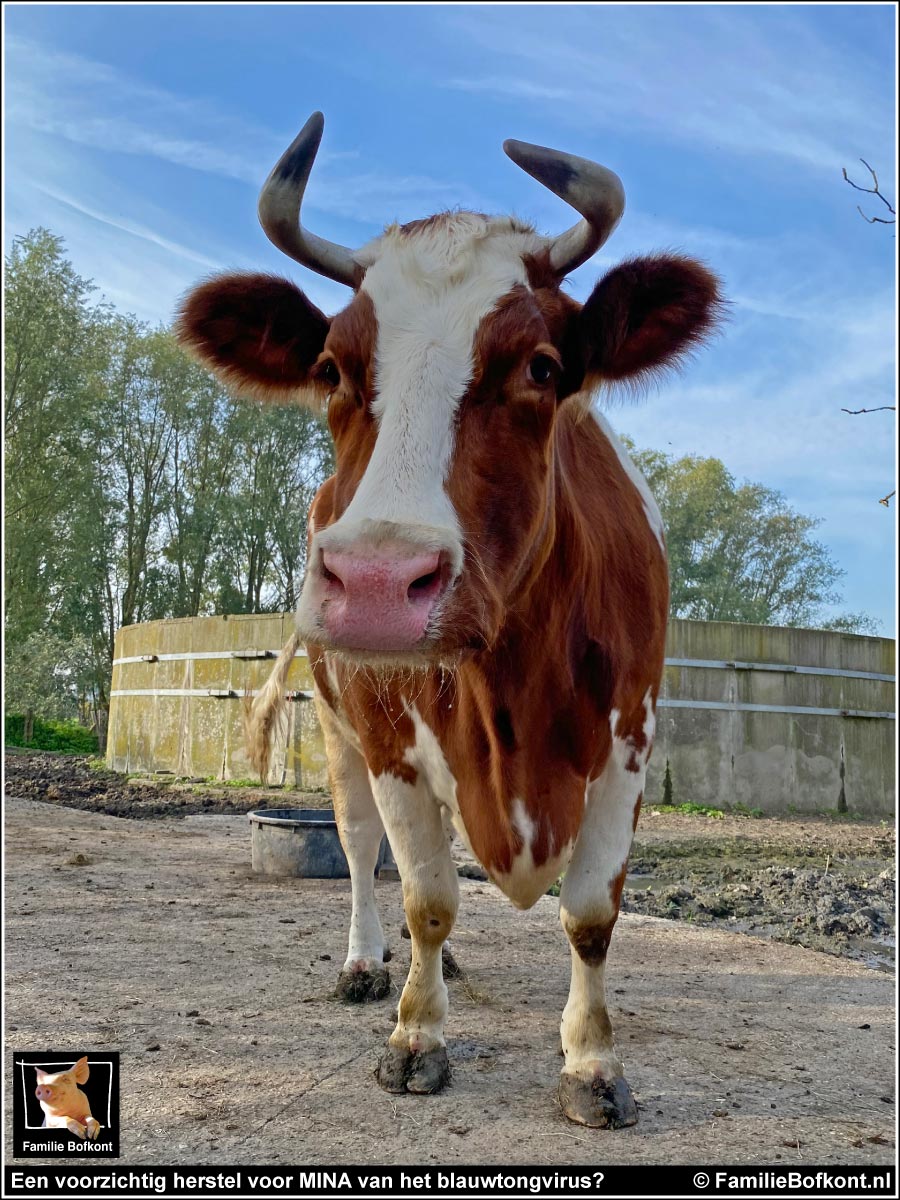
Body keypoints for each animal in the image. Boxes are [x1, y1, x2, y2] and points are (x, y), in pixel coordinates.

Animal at [177, 110, 724, 1123]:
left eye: (543, 366)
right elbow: (427, 896)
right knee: (364, 852)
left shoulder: (631, 740)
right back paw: (368, 964)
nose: (378, 579)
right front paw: (415, 1035)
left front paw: (592, 1063)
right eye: (332, 368)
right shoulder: (390, 740)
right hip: (339, 732)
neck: (511, 689)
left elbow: (591, 915)